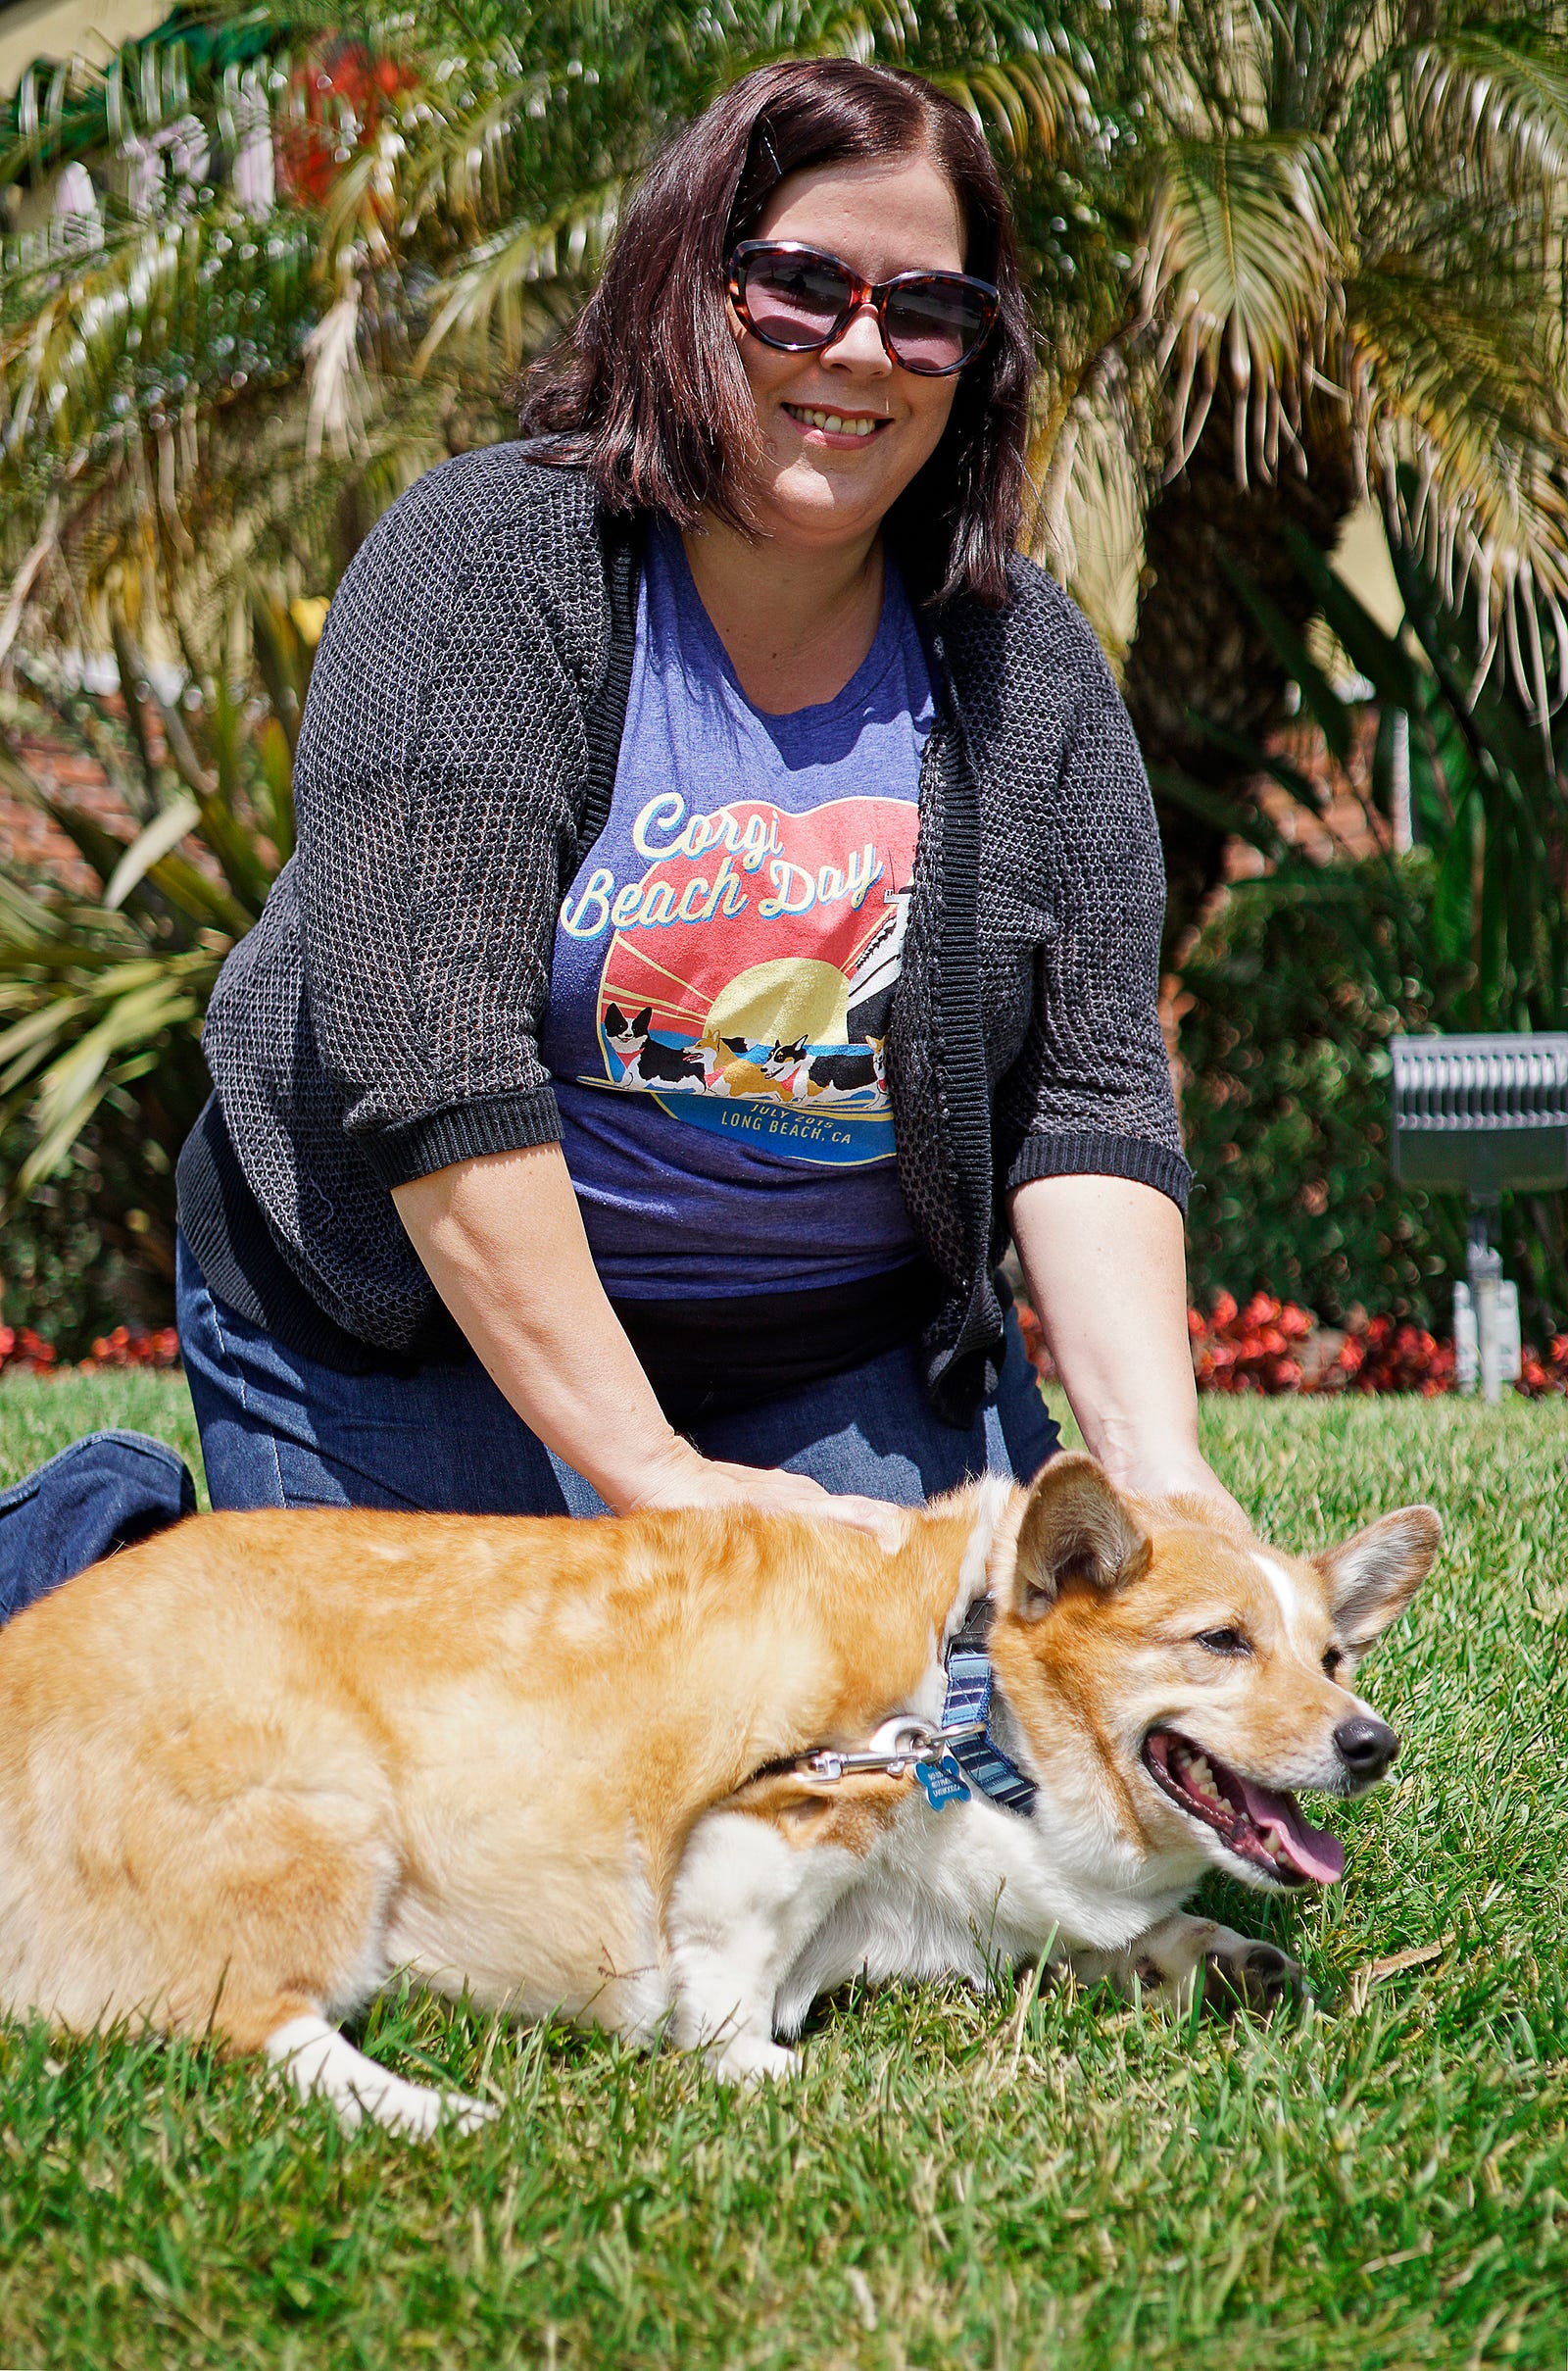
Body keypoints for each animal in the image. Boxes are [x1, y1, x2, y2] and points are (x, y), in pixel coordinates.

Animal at [0, 1457, 1438, 2135]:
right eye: (1221, 1642)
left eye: (1333, 1655)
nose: (1371, 1743)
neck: (983, 1707)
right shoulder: (783, 1809)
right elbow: (733, 1962)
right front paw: (753, 2061)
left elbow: (1119, 1937)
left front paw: (1210, 1955)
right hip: (331, 1816)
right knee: (259, 2026)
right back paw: (434, 2111)